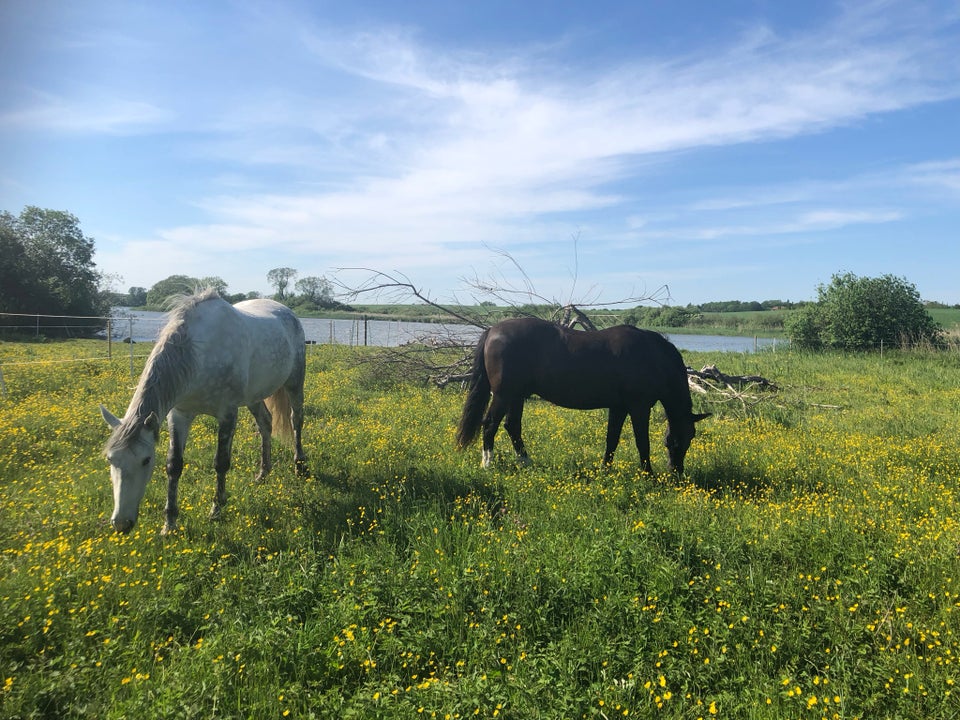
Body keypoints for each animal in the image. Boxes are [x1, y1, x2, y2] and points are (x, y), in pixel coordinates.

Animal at [98, 292, 308, 536]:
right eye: (110, 459)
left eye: (146, 460)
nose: (121, 524)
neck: (197, 356)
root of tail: (286, 311)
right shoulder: (179, 415)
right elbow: (174, 465)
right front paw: (169, 523)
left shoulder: (227, 413)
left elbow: (221, 462)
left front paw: (216, 509)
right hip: (253, 397)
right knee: (265, 423)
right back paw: (263, 473)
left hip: (294, 383)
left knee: (296, 420)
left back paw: (299, 465)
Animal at [454, 318, 708, 476]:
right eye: (679, 439)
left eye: (691, 437)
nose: (676, 472)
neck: (652, 356)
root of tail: (492, 330)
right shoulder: (639, 407)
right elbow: (642, 442)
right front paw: (648, 474)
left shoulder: (618, 407)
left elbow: (612, 439)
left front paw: (605, 469)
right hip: (504, 395)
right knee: (490, 424)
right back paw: (488, 464)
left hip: (516, 396)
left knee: (512, 426)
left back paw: (526, 462)